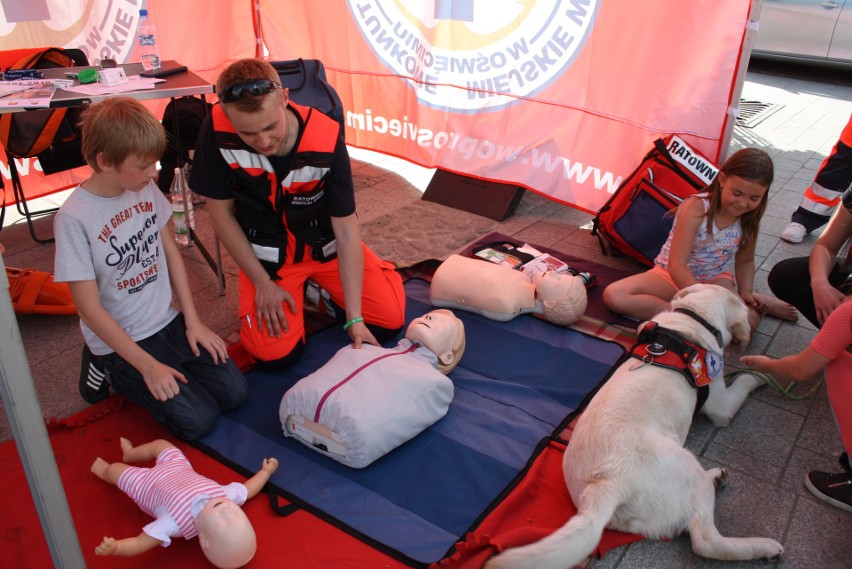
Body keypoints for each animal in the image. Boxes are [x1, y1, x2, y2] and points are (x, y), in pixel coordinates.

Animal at [482, 284, 784, 568]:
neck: (694, 318)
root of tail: (607, 483)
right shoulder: (720, 403)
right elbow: (743, 382)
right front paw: (762, 373)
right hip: (685, 465)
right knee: (705, 539)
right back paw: (762, 546)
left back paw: (716, 478)